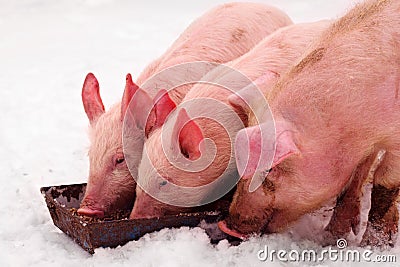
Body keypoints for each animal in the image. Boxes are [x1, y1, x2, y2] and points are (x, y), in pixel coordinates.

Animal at [220, 0, 400, 249]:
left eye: (271, 169)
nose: (227, 227)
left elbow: (385, 184)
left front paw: (372, 245)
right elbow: (356, 175)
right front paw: (334, 235)